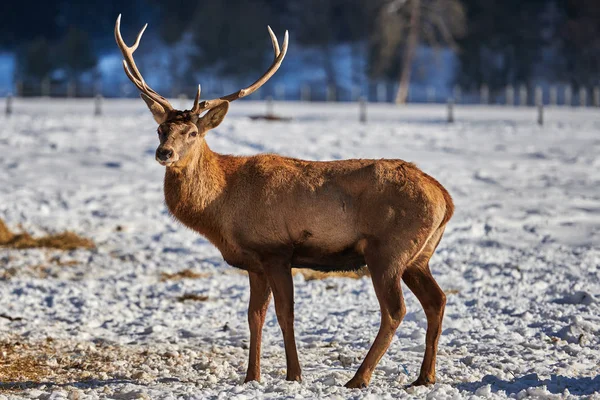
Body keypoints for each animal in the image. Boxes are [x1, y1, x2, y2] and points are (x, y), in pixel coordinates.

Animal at [116, 14, 454, 388]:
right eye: (160, 129)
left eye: (191, 133)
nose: (164, 153)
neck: (222, 209)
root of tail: (446, 199)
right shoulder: (254, 262)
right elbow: (254, 315)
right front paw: (251, 376)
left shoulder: (275, 250)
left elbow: (284, 314)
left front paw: (294, 374)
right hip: (418, 256)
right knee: (437, 300)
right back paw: (425, 377)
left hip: (388, 251)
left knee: (396, 310)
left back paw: (359, 378)